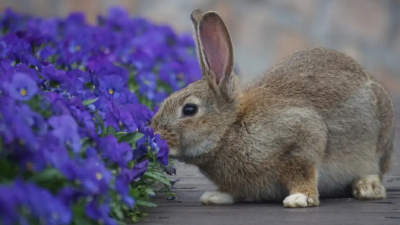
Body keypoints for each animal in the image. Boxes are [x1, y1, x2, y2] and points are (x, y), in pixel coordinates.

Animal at [150, 9, 394, 208]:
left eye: (189, 110)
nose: (155, 134)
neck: (230, 128)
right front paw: (215, 196)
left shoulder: (302, 138)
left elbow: (303, 172)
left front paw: (300, 198)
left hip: (378, 142)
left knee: (377, 171)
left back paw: (366, 187)